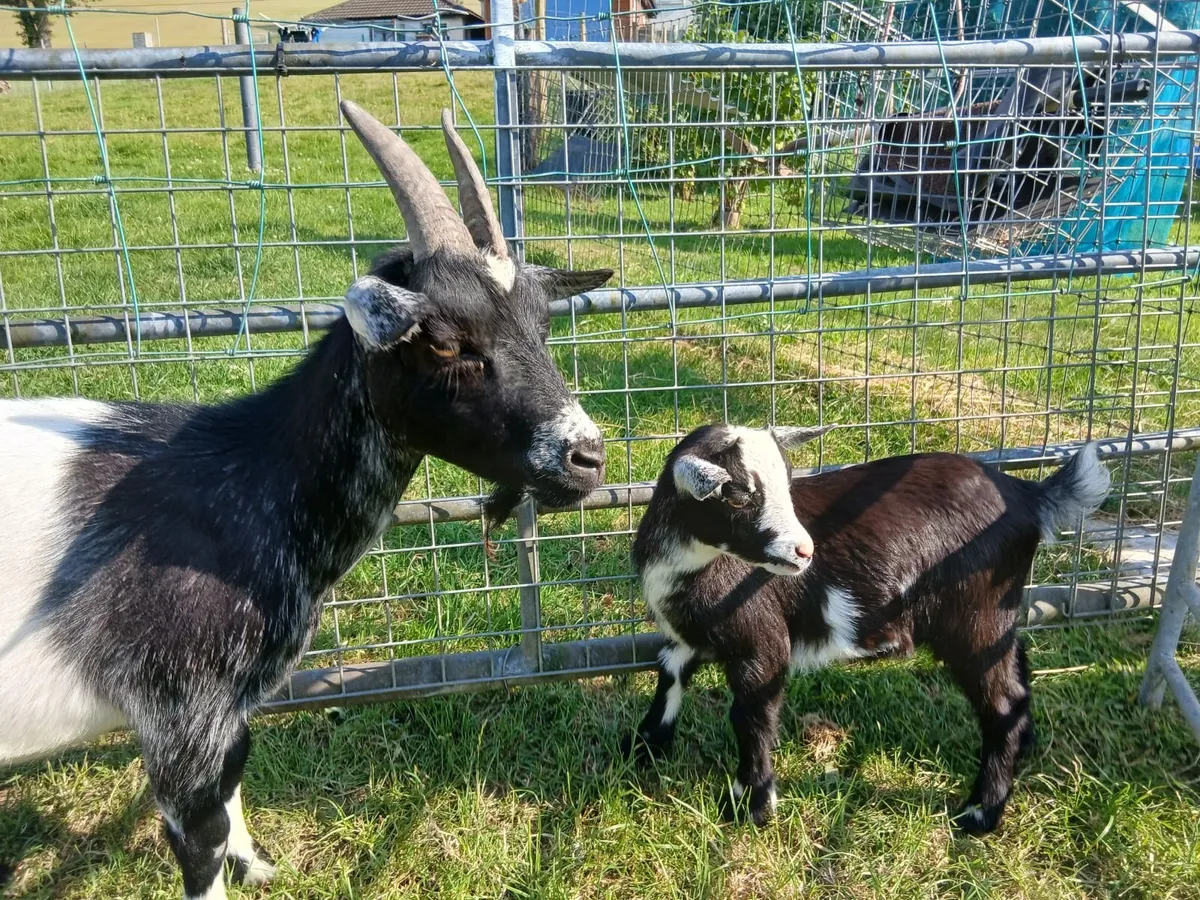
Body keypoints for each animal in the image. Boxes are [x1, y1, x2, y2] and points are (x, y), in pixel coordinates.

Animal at [0, 101, 613, 900]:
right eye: (445, 341)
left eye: (541, 326)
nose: (587, 458)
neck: (244, 481)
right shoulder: (177, 716)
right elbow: (200, 840)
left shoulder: (225, 712)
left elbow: (235, 785)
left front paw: (258, 863)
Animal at [626, 424, 1110, 834]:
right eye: (738, 496)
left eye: (787, 484)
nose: (804, 551)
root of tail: (1027, 495)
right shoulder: (684, 639)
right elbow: (669, 677)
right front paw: (643, 748)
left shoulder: (760, 642)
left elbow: (751, 718)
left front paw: (752, 805)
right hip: (996, 616)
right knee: (1017, 673)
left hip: (976, 615)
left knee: (1002, 701)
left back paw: (980, 813)